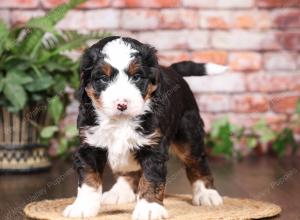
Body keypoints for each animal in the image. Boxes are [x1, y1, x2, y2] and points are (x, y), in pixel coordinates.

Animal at [63, 37, 226, 219]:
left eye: (137, 77)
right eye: (103, 78)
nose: (122, 104)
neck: (121, 121)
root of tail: (171, 69)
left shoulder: (153, 147)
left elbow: (151, 179)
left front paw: (149, 208)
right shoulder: (90, 145)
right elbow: (89, 179)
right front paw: (82, 207)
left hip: (188, 132)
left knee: (197, 161)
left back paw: (207, 194)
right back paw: (120, 192)